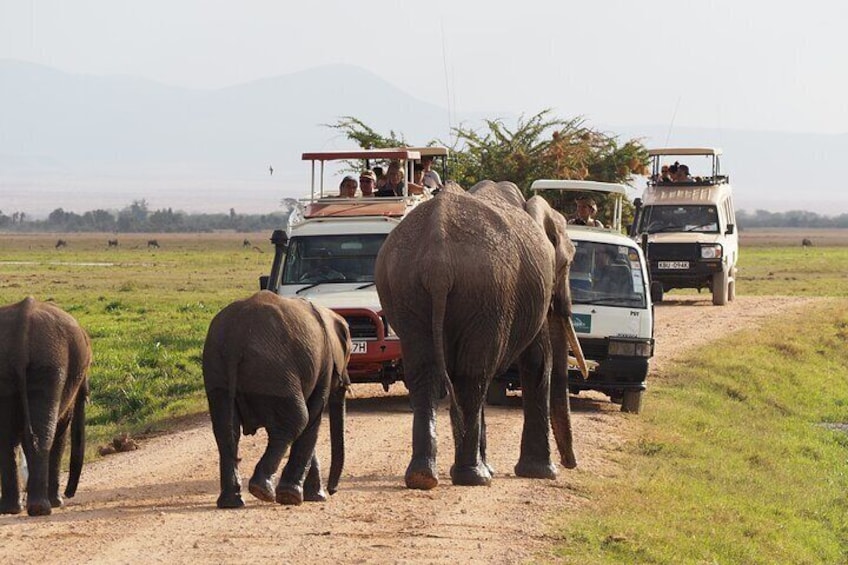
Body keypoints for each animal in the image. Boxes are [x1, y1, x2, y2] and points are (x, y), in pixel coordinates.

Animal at [0, 298, 92, 512]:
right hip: (50, 366)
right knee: (43, 435)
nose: (69, 494)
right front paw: (58, 502)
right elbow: (61, 429)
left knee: (8, 438)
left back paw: (12, 509)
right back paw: (41, 508)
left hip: (15, 367)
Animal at [202, 290, 352, 506]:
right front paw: (299, 496)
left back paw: (232, 502)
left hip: (216, 365)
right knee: (297, 420)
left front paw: (314, 496)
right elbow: (312, 420)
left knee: (226, 429)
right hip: (274, 372)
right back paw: (264, 492)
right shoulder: (324, 364)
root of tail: (235, 339)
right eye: (349, 352)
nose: (333, 491)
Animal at [374, 181, 588, 490]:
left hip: (405, 287)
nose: (571, 464)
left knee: (426, 374)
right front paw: (542, 472)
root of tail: (438, 262)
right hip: (486, 292)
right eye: (567, 265)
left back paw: (424, 477)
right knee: (472, 377)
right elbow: (538, 360)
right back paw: (474, 477)